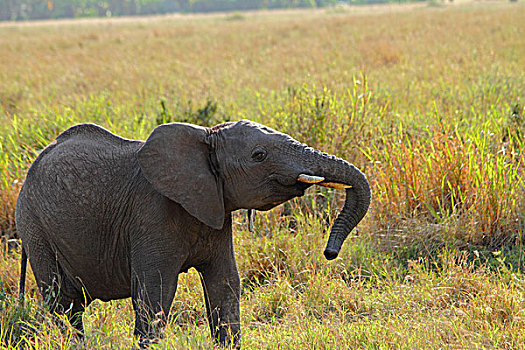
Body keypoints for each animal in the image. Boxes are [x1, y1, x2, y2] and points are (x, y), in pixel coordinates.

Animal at [15, 119, 368, 344]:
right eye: (259, 155)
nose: (330, 253)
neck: (206, 137)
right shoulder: (151, 215)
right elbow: (155, 293)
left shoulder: (216, 208)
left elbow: (225, 285)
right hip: (34, 227)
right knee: (62, 303)